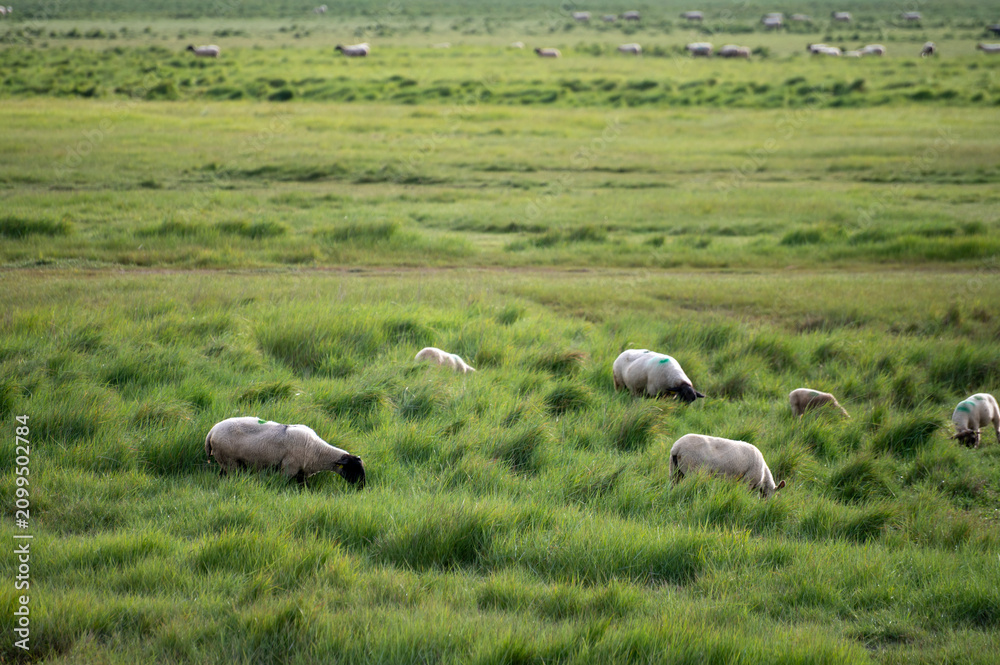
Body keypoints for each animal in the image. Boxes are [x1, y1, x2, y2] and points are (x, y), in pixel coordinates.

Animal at [205, 417, 365, 488]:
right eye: (353, 469)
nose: (361, 487)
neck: (318, 451)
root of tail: (211, 432)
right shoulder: (289, 467)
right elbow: (283, 483)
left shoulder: (301, 472)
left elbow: (305, 487)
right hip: (229, 461)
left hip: (225, 461)